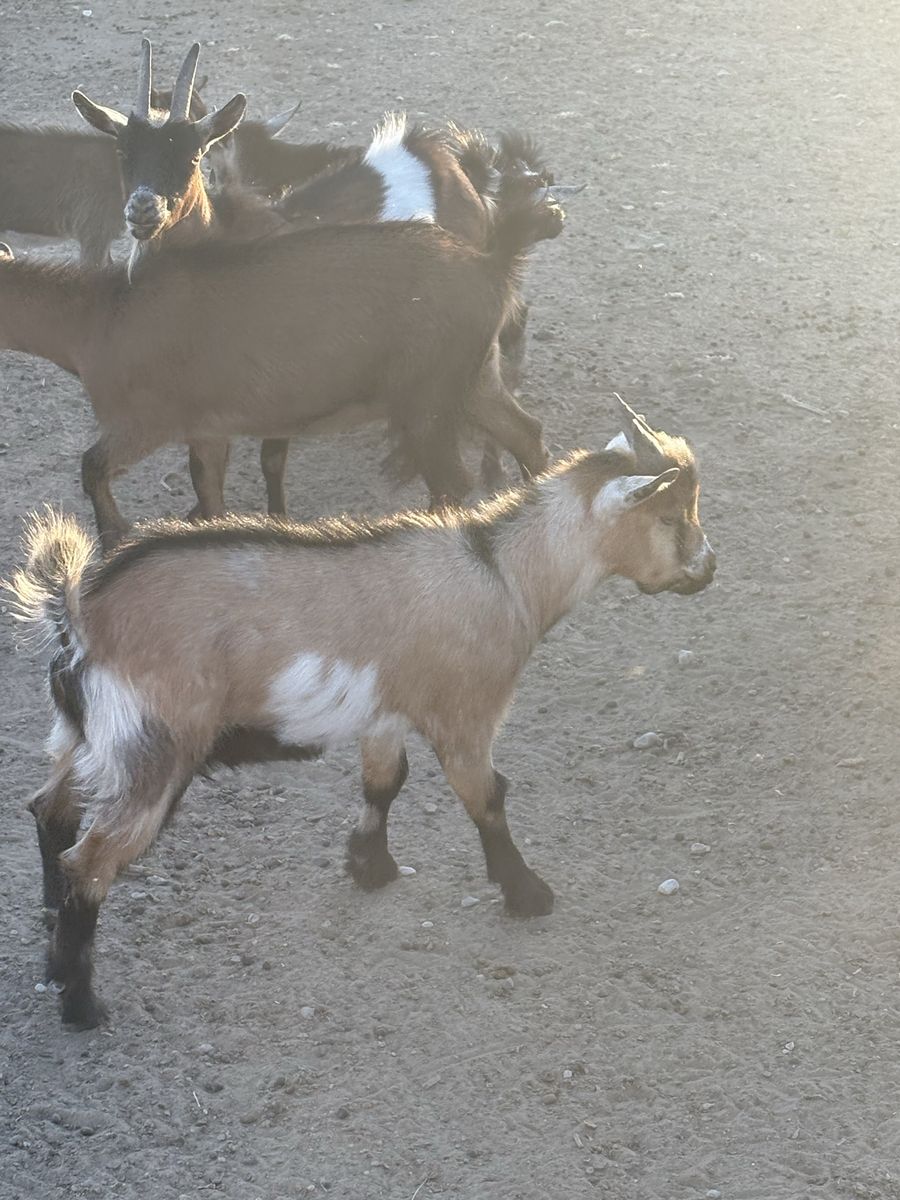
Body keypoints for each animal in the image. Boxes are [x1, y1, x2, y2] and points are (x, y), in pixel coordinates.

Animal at [0, 193, 552, 549]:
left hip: (427, 396)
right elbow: (209, 496)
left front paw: (115, 536)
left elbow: (92, 467)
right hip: (474, 377)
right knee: (525, 433)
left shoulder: (146, 420)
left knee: (453, 481)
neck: (101, 316)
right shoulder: (206, 428)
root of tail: (490, 265)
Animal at [7, 400, 717, 1028]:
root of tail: (79, 613)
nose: (709, 569)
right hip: (152, 749)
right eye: (671, 515)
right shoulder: (467, 712)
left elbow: (385, 782)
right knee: (89, 861)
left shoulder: (386, 714)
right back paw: (81, 1004)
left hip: (82, 735)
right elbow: (487, 796)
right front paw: (527, 894)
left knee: (50, 810)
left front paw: (369, 867)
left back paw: (51, 945)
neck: (502, 573)